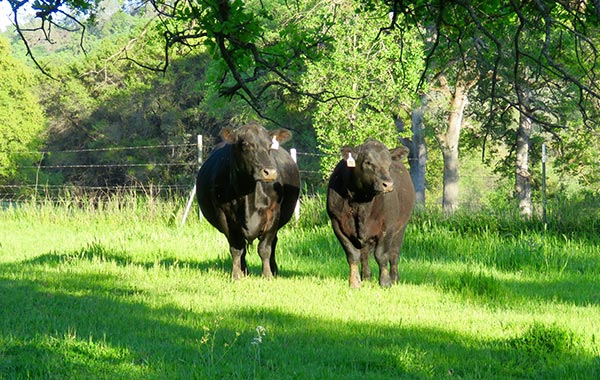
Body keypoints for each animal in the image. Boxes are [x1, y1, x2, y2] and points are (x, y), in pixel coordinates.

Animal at [197, 122, 300, 280]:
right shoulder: (223, 215)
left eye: (270, 145)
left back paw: (274, 270)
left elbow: (265, 248)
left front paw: (267, 275)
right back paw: (245, 271)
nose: (270, 172)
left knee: (273, 243)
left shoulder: (274, 213)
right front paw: (236, 275)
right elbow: (236, 248)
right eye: (246, 144)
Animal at [326, 140, 414, 288]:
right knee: (364, 254)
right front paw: (355, 282)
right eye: (368, 162)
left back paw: (394, 278)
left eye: (389, 163)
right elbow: (353, 255)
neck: (361, 204)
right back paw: (366, 277)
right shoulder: (337, 224)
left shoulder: (387, 227)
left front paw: (385, 282)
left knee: (394, 254)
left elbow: (382, 255)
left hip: (401, 228)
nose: (388, 184)